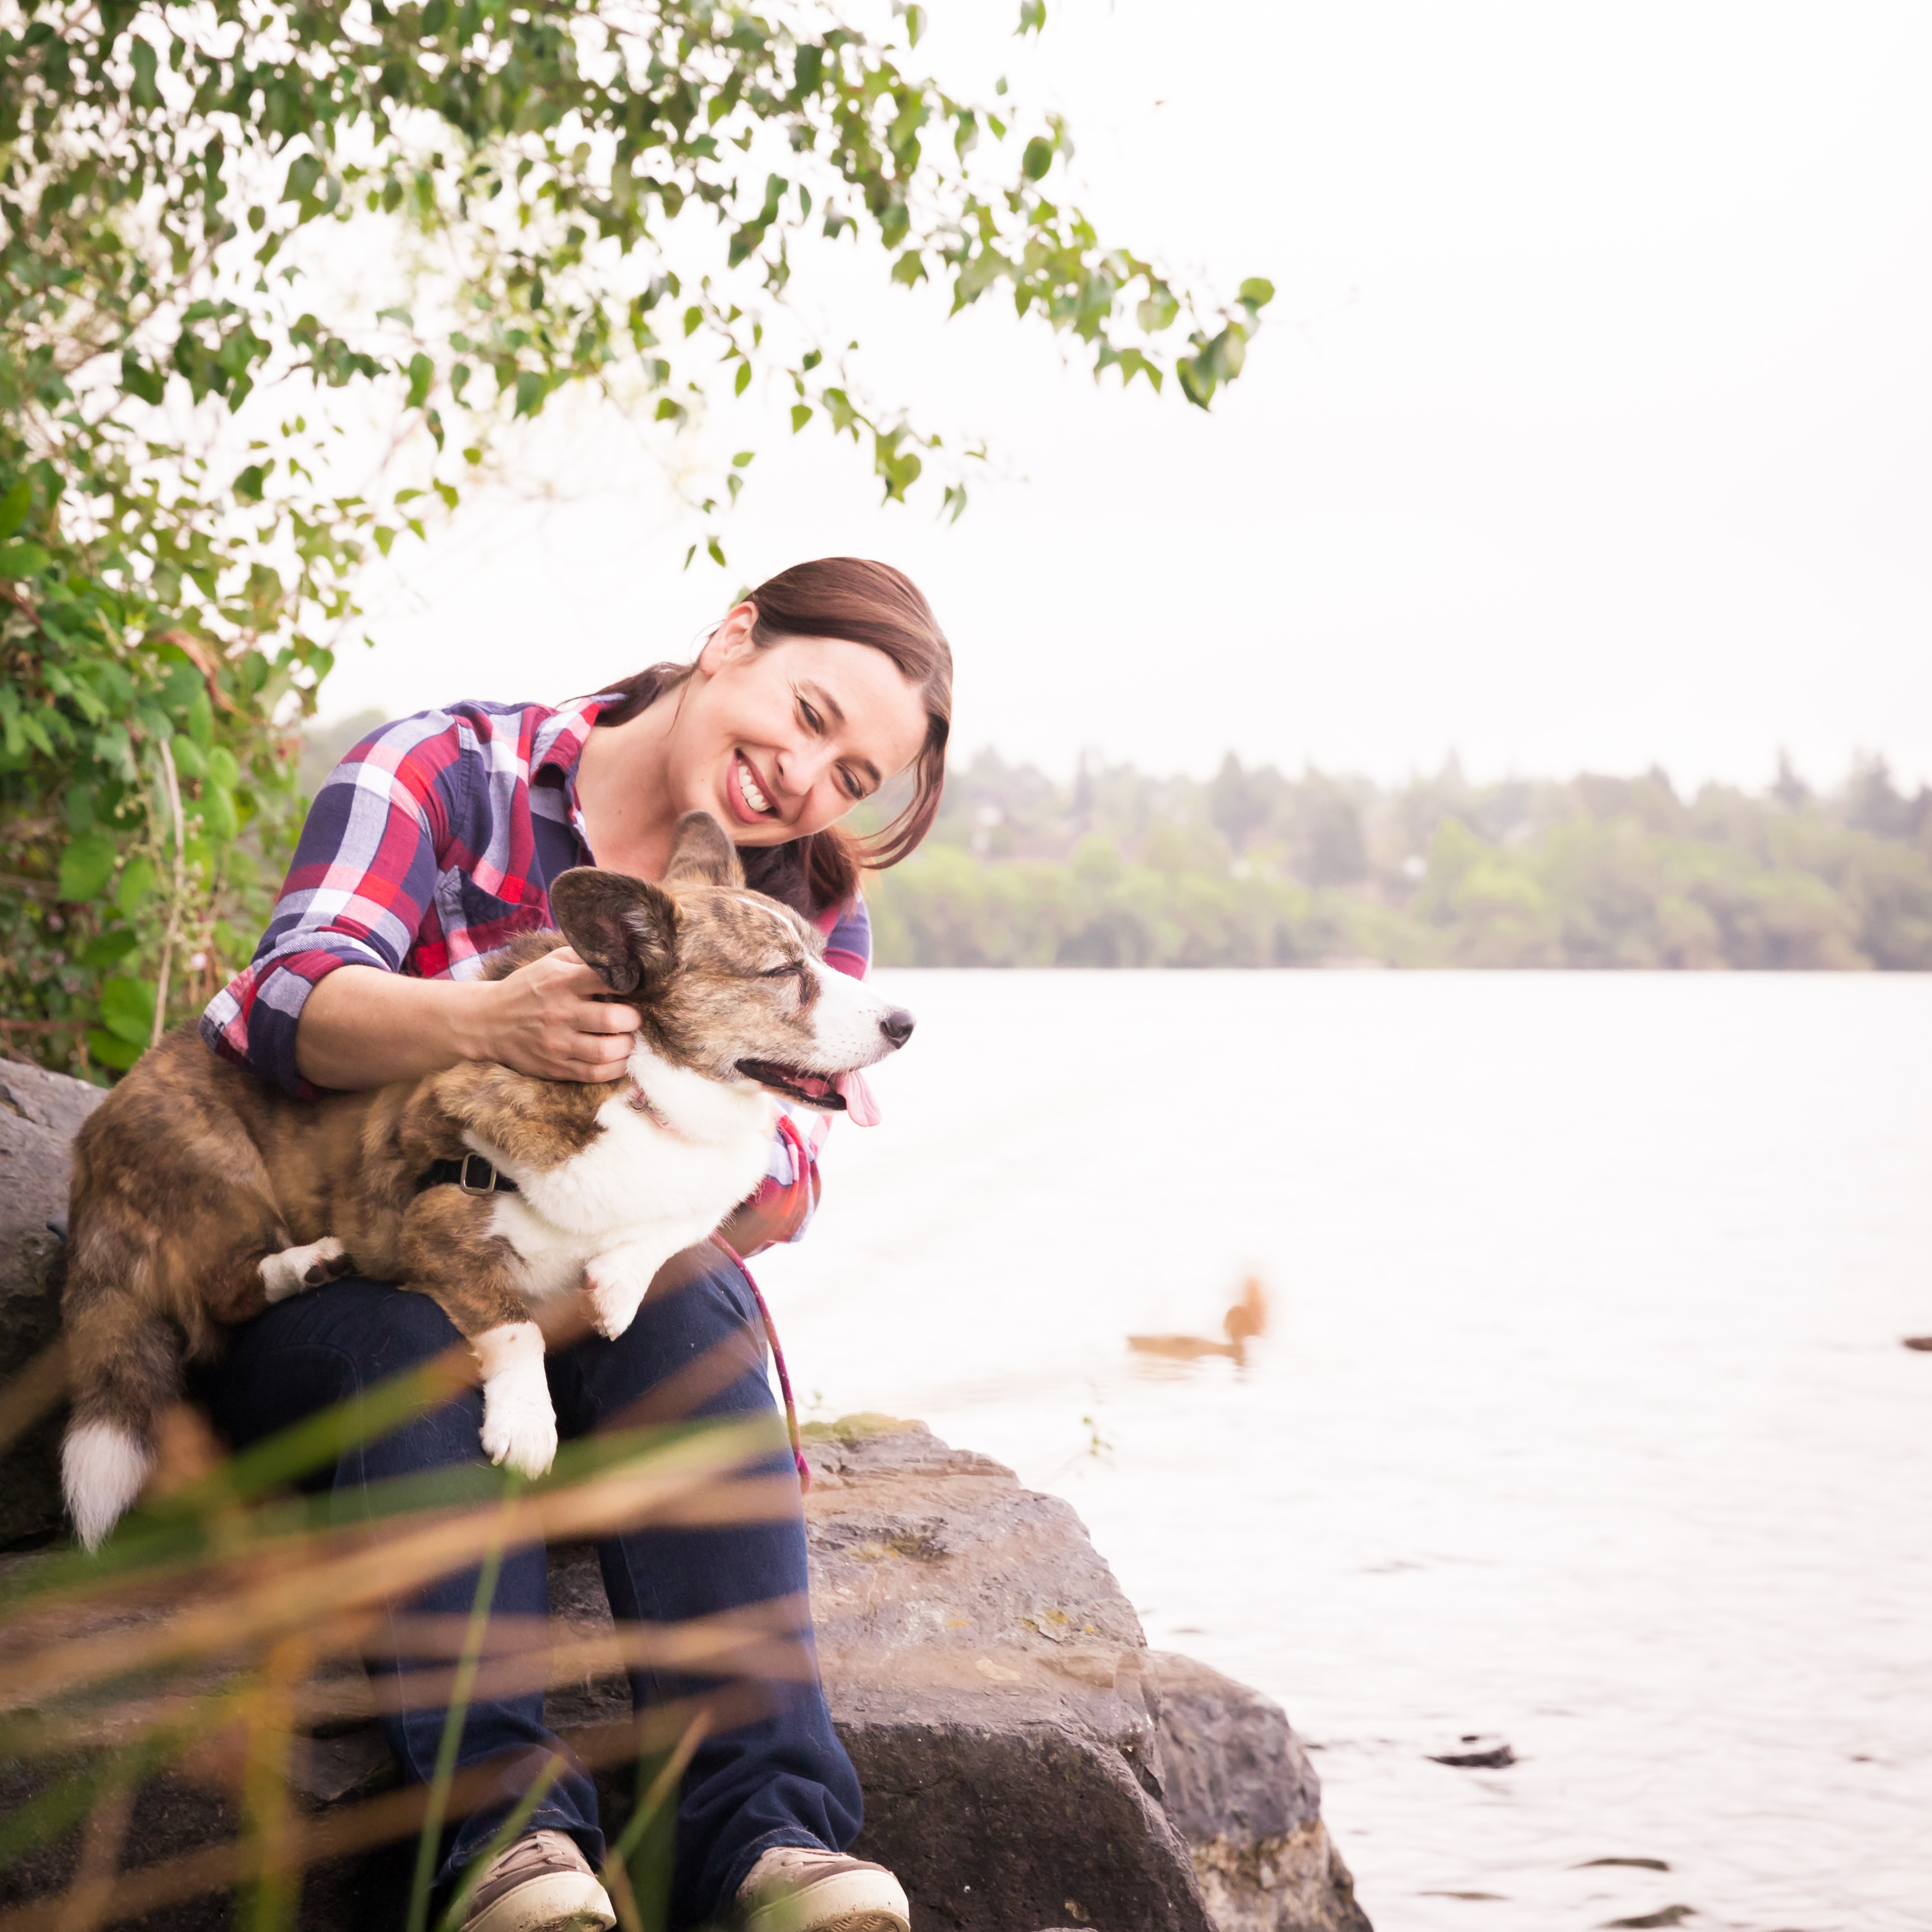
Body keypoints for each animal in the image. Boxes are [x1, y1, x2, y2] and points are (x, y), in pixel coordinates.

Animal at [56, 815, 908, 1553]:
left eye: (822, 956)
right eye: (783, 972)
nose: (905, 1024)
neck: (646, 1088)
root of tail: (88, 1147)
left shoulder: (705, 1185)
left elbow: (675, 1227)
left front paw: (618, 1284)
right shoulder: (437, 1227)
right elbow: (513, 1325)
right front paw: (527, 1425)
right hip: (220, 1174)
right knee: (218, 1294)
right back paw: (306, 1265)